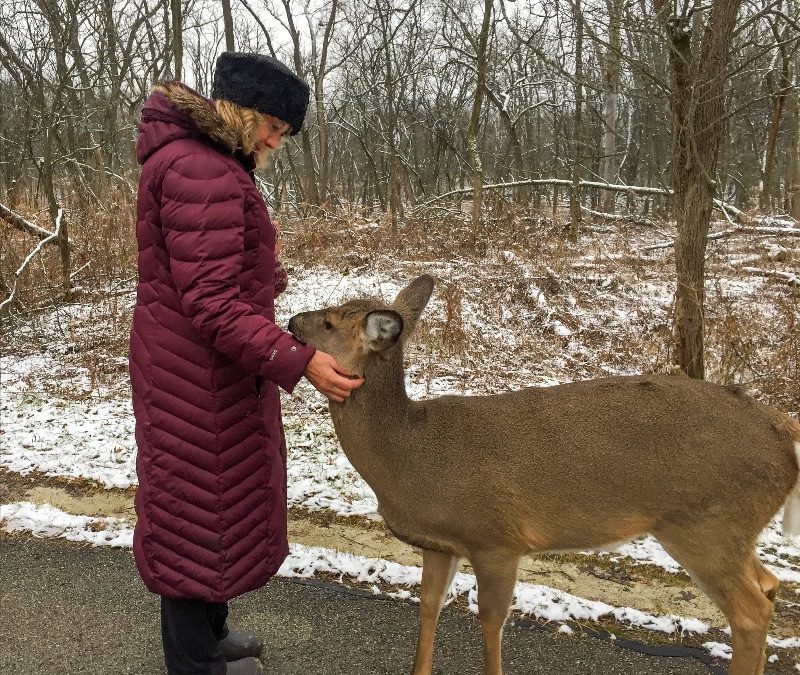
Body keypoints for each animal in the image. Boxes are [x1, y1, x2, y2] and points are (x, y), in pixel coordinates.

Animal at [290, 274, 800, 675]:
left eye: (330, 322)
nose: (292, 320)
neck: (410, 458)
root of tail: (781, 430)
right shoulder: (439, 543)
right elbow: (428, 608)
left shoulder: (496, 538)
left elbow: (490, 621)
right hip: (729, 529)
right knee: (769, 584)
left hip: (705, 522)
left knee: (750, 613)